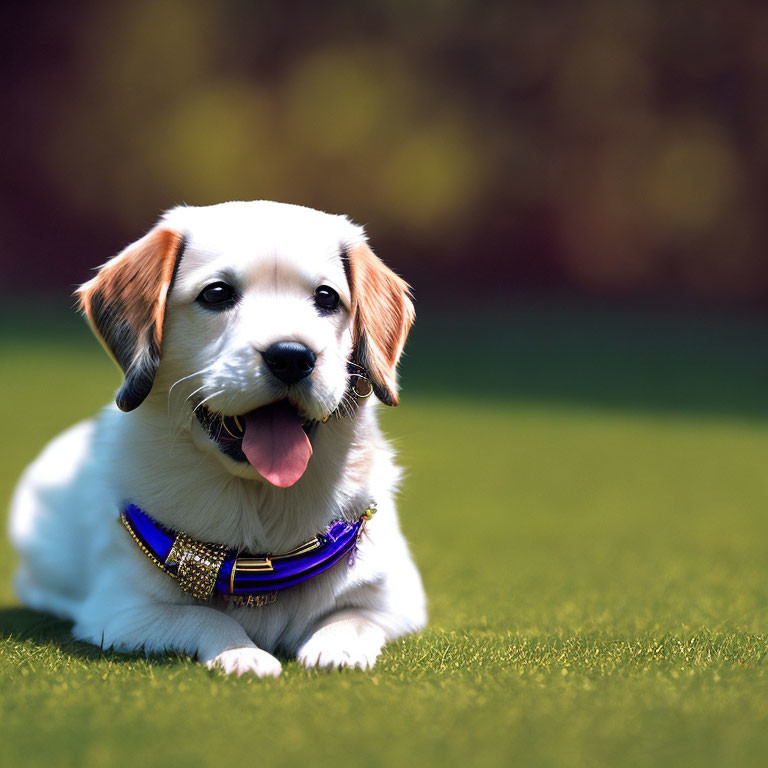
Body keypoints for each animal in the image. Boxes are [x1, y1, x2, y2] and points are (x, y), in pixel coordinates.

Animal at [9, 201, 426, 676]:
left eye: (326, 297)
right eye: (216, 294)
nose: (291, 356)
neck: (260, 504)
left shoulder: (401, 600)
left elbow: (354, 616)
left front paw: (336, 648)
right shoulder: (120, 611)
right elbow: (200, 616)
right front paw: (241, 652)